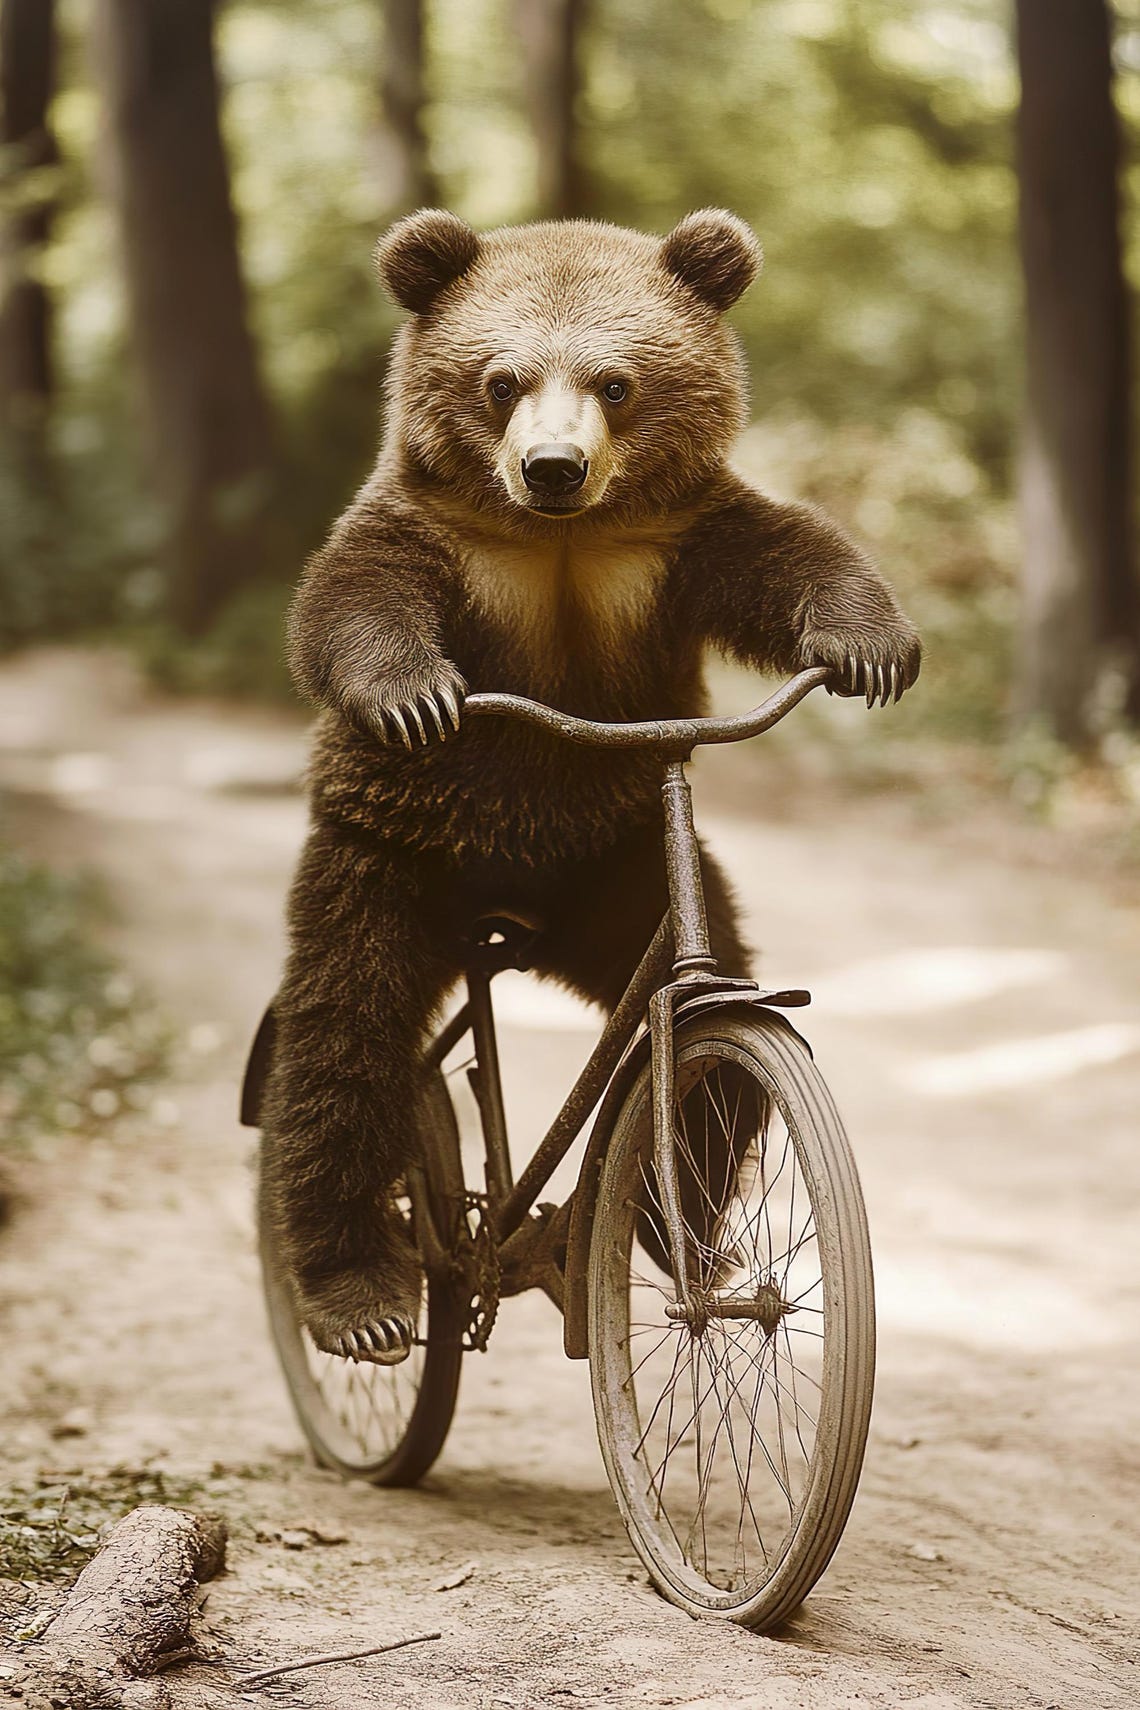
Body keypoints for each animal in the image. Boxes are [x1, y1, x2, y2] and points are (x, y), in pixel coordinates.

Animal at [259, 206, 921, 1365]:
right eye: (501, 379)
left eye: (615, 381)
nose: (554, 468)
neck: (559, 544)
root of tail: (504, 908)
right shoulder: (442, 542)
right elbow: (350, 596)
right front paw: (409, 693)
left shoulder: (670, 549)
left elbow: (790, 549)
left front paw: (870, 646)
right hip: (388, 855)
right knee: (342, 1039)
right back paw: (356, 1292)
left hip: (616, 871)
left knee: (710, 1052)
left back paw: (679, 1234)